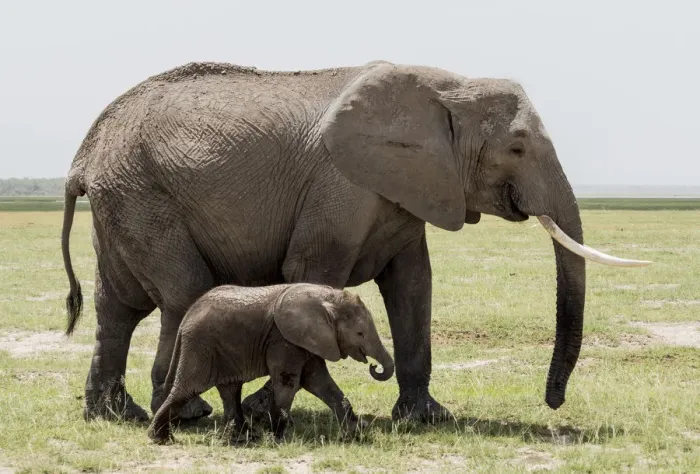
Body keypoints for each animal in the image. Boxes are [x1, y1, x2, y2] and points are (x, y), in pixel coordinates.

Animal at [61, 60, 649, 424]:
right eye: (518, 147)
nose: (553, 402)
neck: (446, 87)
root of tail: (85, 155)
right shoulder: (339, 185)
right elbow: (312, 271)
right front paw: (264, 408)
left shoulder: (410, 188)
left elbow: (413, 286)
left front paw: (426, 420)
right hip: (142, 195)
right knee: (181, 292)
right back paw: (187, 413)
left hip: (123, 199)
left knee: (118, 308)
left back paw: (114, 415)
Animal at [147, 283, 393, 444]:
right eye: (360, 333)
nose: (374, 367)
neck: (327, 298)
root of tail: (187, 317)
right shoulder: (283, 339)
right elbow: (289, 383)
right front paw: (281, 438)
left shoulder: (306, 340)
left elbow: (320, 382)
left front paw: (357, 433)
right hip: (201, 347)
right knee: (186, 389)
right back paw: (160, 439)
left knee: (230, 390)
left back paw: (244, 438)